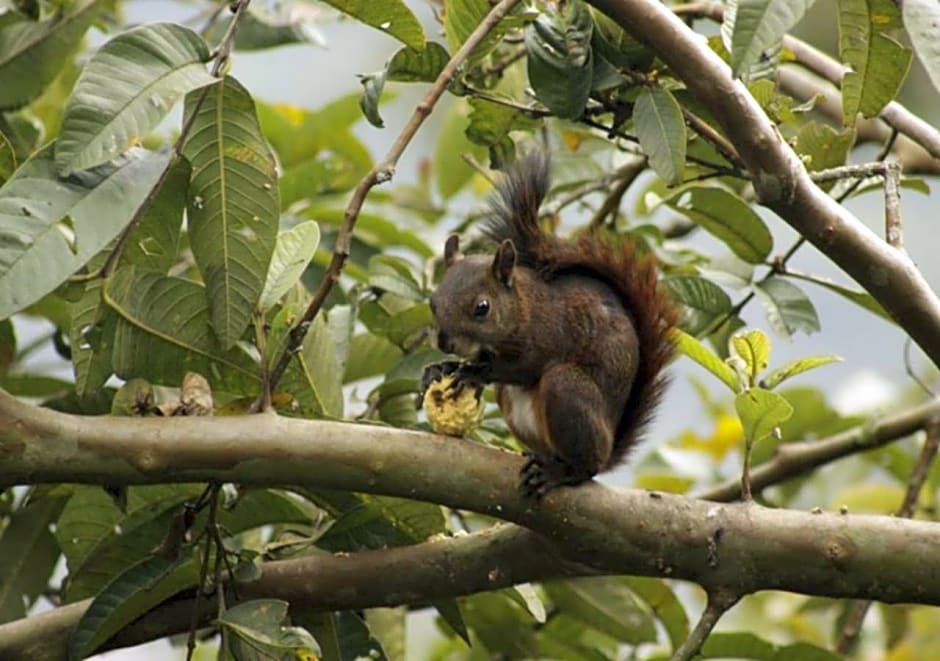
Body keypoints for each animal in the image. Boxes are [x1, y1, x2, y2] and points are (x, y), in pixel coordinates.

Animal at [430, 152, 680, 496]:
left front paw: (474, 372)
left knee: (585, 467)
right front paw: (443, 367)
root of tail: (607, 449)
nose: (444, 343)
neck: (523, 308)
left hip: (567, 389)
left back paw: (558, 473)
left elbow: (525, 368)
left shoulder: (549, 334)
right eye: (433, 301)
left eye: (482, 308)